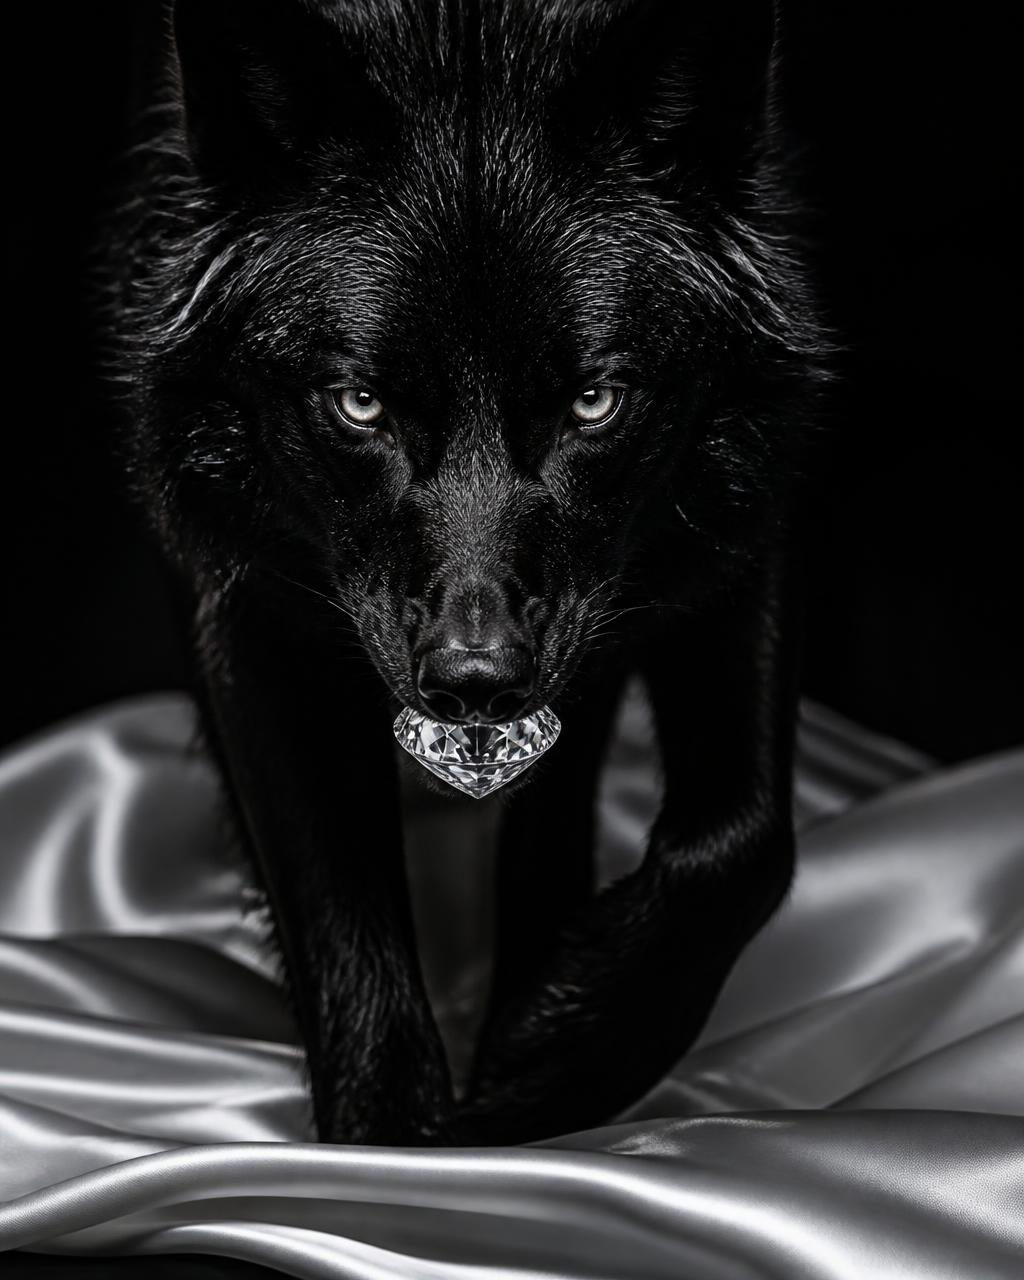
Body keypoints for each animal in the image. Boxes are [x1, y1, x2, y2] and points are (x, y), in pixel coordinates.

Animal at [105, 0, 829, 1145]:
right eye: (359, 404)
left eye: (593, 402)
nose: (475, 681)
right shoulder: (245, 594)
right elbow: (340, 920)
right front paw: (395, 1156)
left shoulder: (749, 502)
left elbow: (744, 841)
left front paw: (552, 1058)